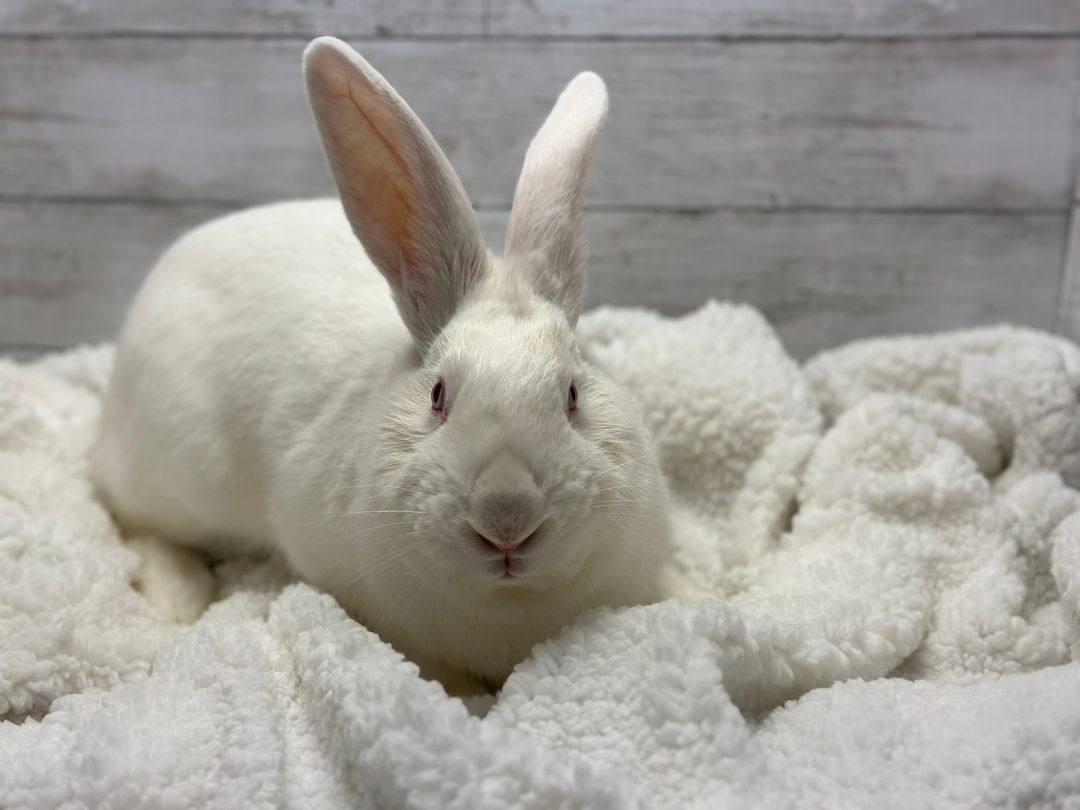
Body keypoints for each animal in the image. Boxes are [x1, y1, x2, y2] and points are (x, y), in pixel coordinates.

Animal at [92, 37, 676, 693]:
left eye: (573, 395)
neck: (508, 611)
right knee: (130, 517)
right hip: (175, 474)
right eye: (438, 396)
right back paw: (180, 598)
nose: (506, 519)